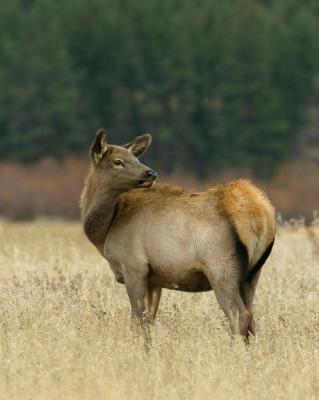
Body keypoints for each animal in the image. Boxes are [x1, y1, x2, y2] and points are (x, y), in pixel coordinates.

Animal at [81, 130, 276, 340]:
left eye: (134, 158)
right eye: (118, 161)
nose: (150, 173)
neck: (106, 231)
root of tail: (262, 216)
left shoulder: (134, 265)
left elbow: (138, 319)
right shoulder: (154, 278)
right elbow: (149, 320)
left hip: (222, 267)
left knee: (239, 314)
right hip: (252, 273)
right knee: (252, 316)